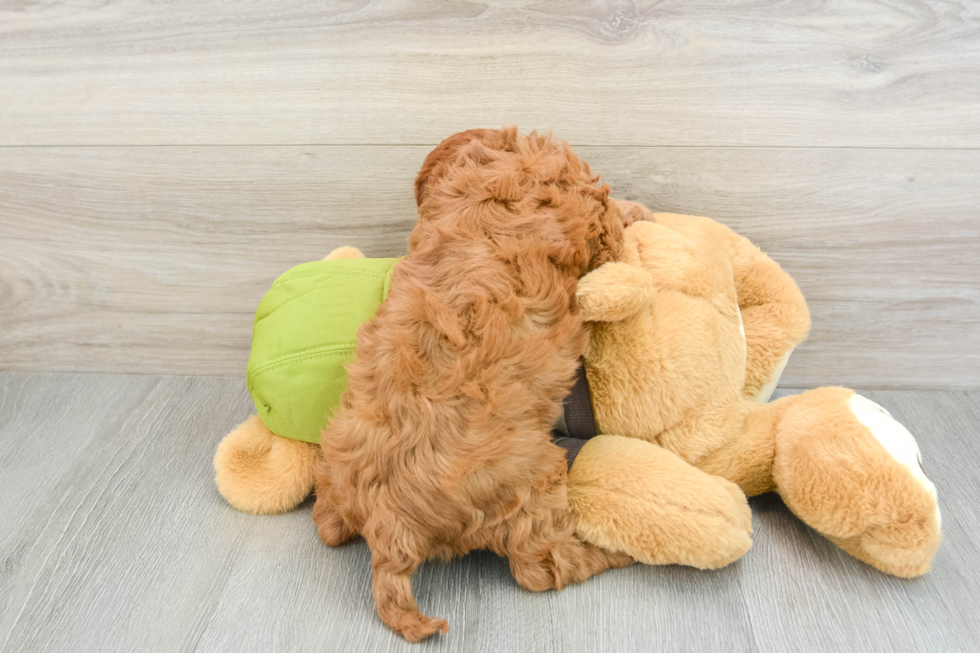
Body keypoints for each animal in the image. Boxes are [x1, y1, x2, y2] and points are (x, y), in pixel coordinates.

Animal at [314, 129, 636, 640]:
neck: (491, 179)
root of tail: (389, 525)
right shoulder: (588, 216)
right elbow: (612, 226)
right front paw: (636, 210)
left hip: (335, 460)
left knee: (327, 522)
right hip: (534, 485)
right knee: (543, 567)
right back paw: (608, 554)